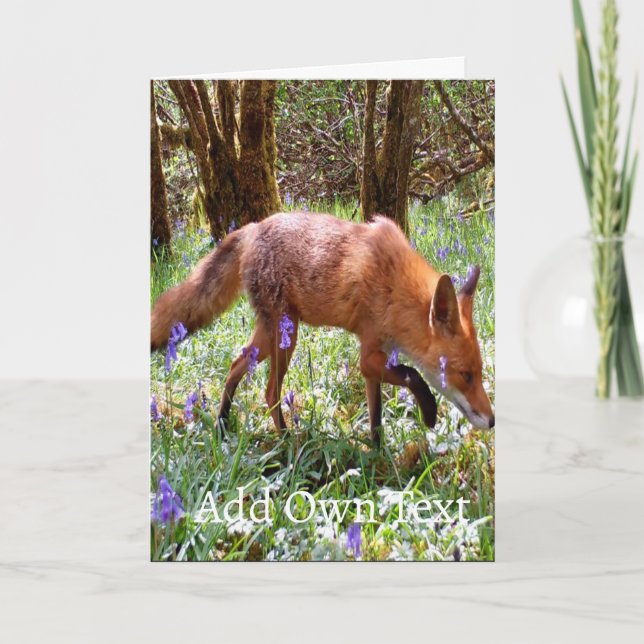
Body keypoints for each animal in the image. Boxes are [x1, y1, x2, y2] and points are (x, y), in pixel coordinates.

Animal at [151, 211, 494, 446]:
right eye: (465, 375)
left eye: (480, 372)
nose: (491, 421)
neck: (395, 285)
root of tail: (253, 227)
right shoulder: (369, 355)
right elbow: (414, 375)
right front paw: (429, 411)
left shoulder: (376, 359)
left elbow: (376, 419)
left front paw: (378, 457)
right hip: (285, 337)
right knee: (270, 391)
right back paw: (286, 440)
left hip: (270, 336)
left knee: (236, 365)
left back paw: (222, 425)